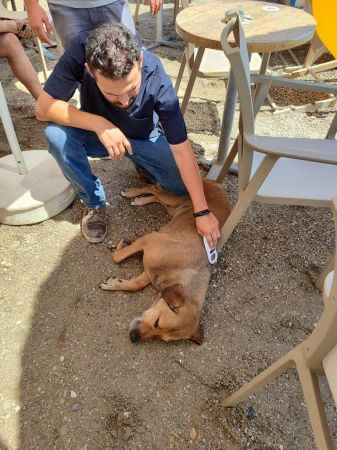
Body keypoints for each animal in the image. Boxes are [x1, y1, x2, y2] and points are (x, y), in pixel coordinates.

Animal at [100, 179, 231, 344]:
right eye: (157, 322)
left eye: (161, 337)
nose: (133, 337)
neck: (183, 272)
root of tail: (217, 184)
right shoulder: (150, 239)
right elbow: (117, 257)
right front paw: (121, 246)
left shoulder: (150, 273)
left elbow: (136, 285)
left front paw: (115, 283)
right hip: (175, 199)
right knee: (155, 188)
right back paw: (132, 193)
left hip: (174, 210)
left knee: (158, 197)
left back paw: (141, 200)